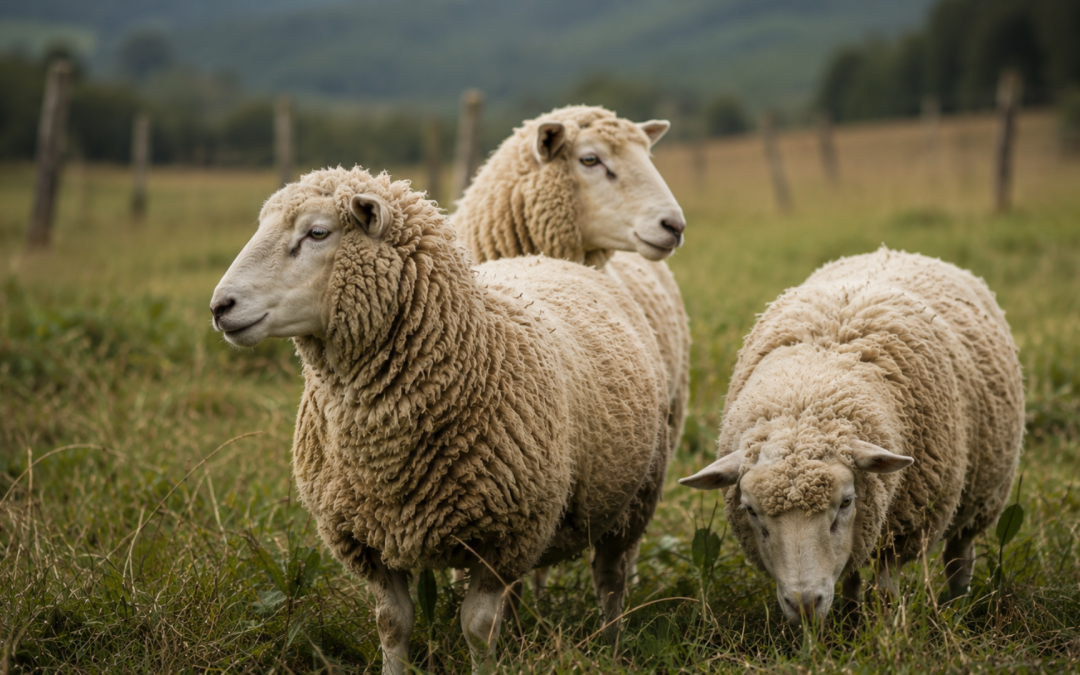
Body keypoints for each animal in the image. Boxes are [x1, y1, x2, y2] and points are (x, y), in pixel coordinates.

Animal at [209, 166, 669, 673]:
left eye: (317, 233)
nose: (220, 307)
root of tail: (546, 257)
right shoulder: (364, 539)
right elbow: (392, 624)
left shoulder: (505, 536)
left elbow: (479, 627)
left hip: (633, 501)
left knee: (610, 580)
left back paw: (613, 646)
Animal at [680, 248, 1024, 623]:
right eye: (750, 510)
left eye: (846, 502)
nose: (804, 604)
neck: (809, 392)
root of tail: (893, 250)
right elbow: (852, 573)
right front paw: (850, 615)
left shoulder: (905, 527)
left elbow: (886, 585)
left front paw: (885, 623)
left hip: (984, 495)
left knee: (959, 554)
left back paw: (958, 601)